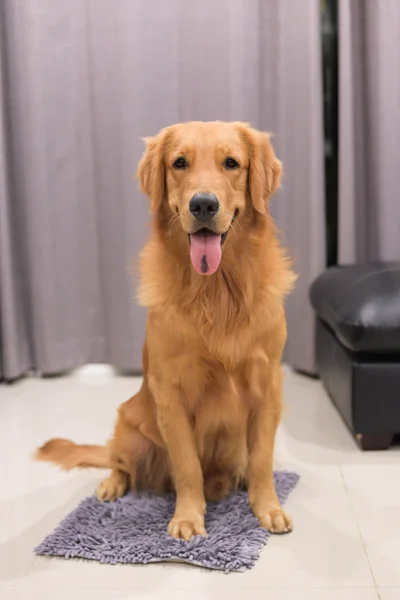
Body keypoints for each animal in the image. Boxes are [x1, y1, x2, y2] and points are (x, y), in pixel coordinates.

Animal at [36, 120, 294, 540]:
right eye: (179, 163)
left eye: (231, 163)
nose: (203, 204)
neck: (216, 293)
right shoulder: (171, 392)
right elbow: (187, 466)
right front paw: (188, 517)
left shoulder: (268, 384)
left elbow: (262, 460)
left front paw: (268, 508)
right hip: (131, 427)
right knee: (118, 459)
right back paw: (111, 484)